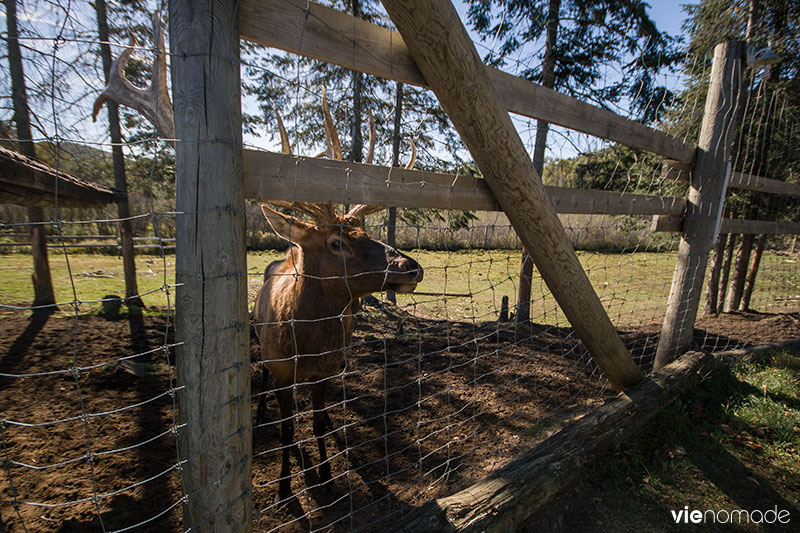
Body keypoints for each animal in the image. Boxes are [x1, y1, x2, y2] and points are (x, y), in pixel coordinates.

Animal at [94, 15, 424, 502]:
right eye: (337, 243)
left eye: (368, 232)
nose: (410, 267)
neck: (306, 345)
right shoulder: (282, 367)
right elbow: (289, 428)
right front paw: (287, 485)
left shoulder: (326, 371)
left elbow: (318, 422)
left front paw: (326, 474)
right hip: (258, 341)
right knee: (265, 387)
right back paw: (263, 413)